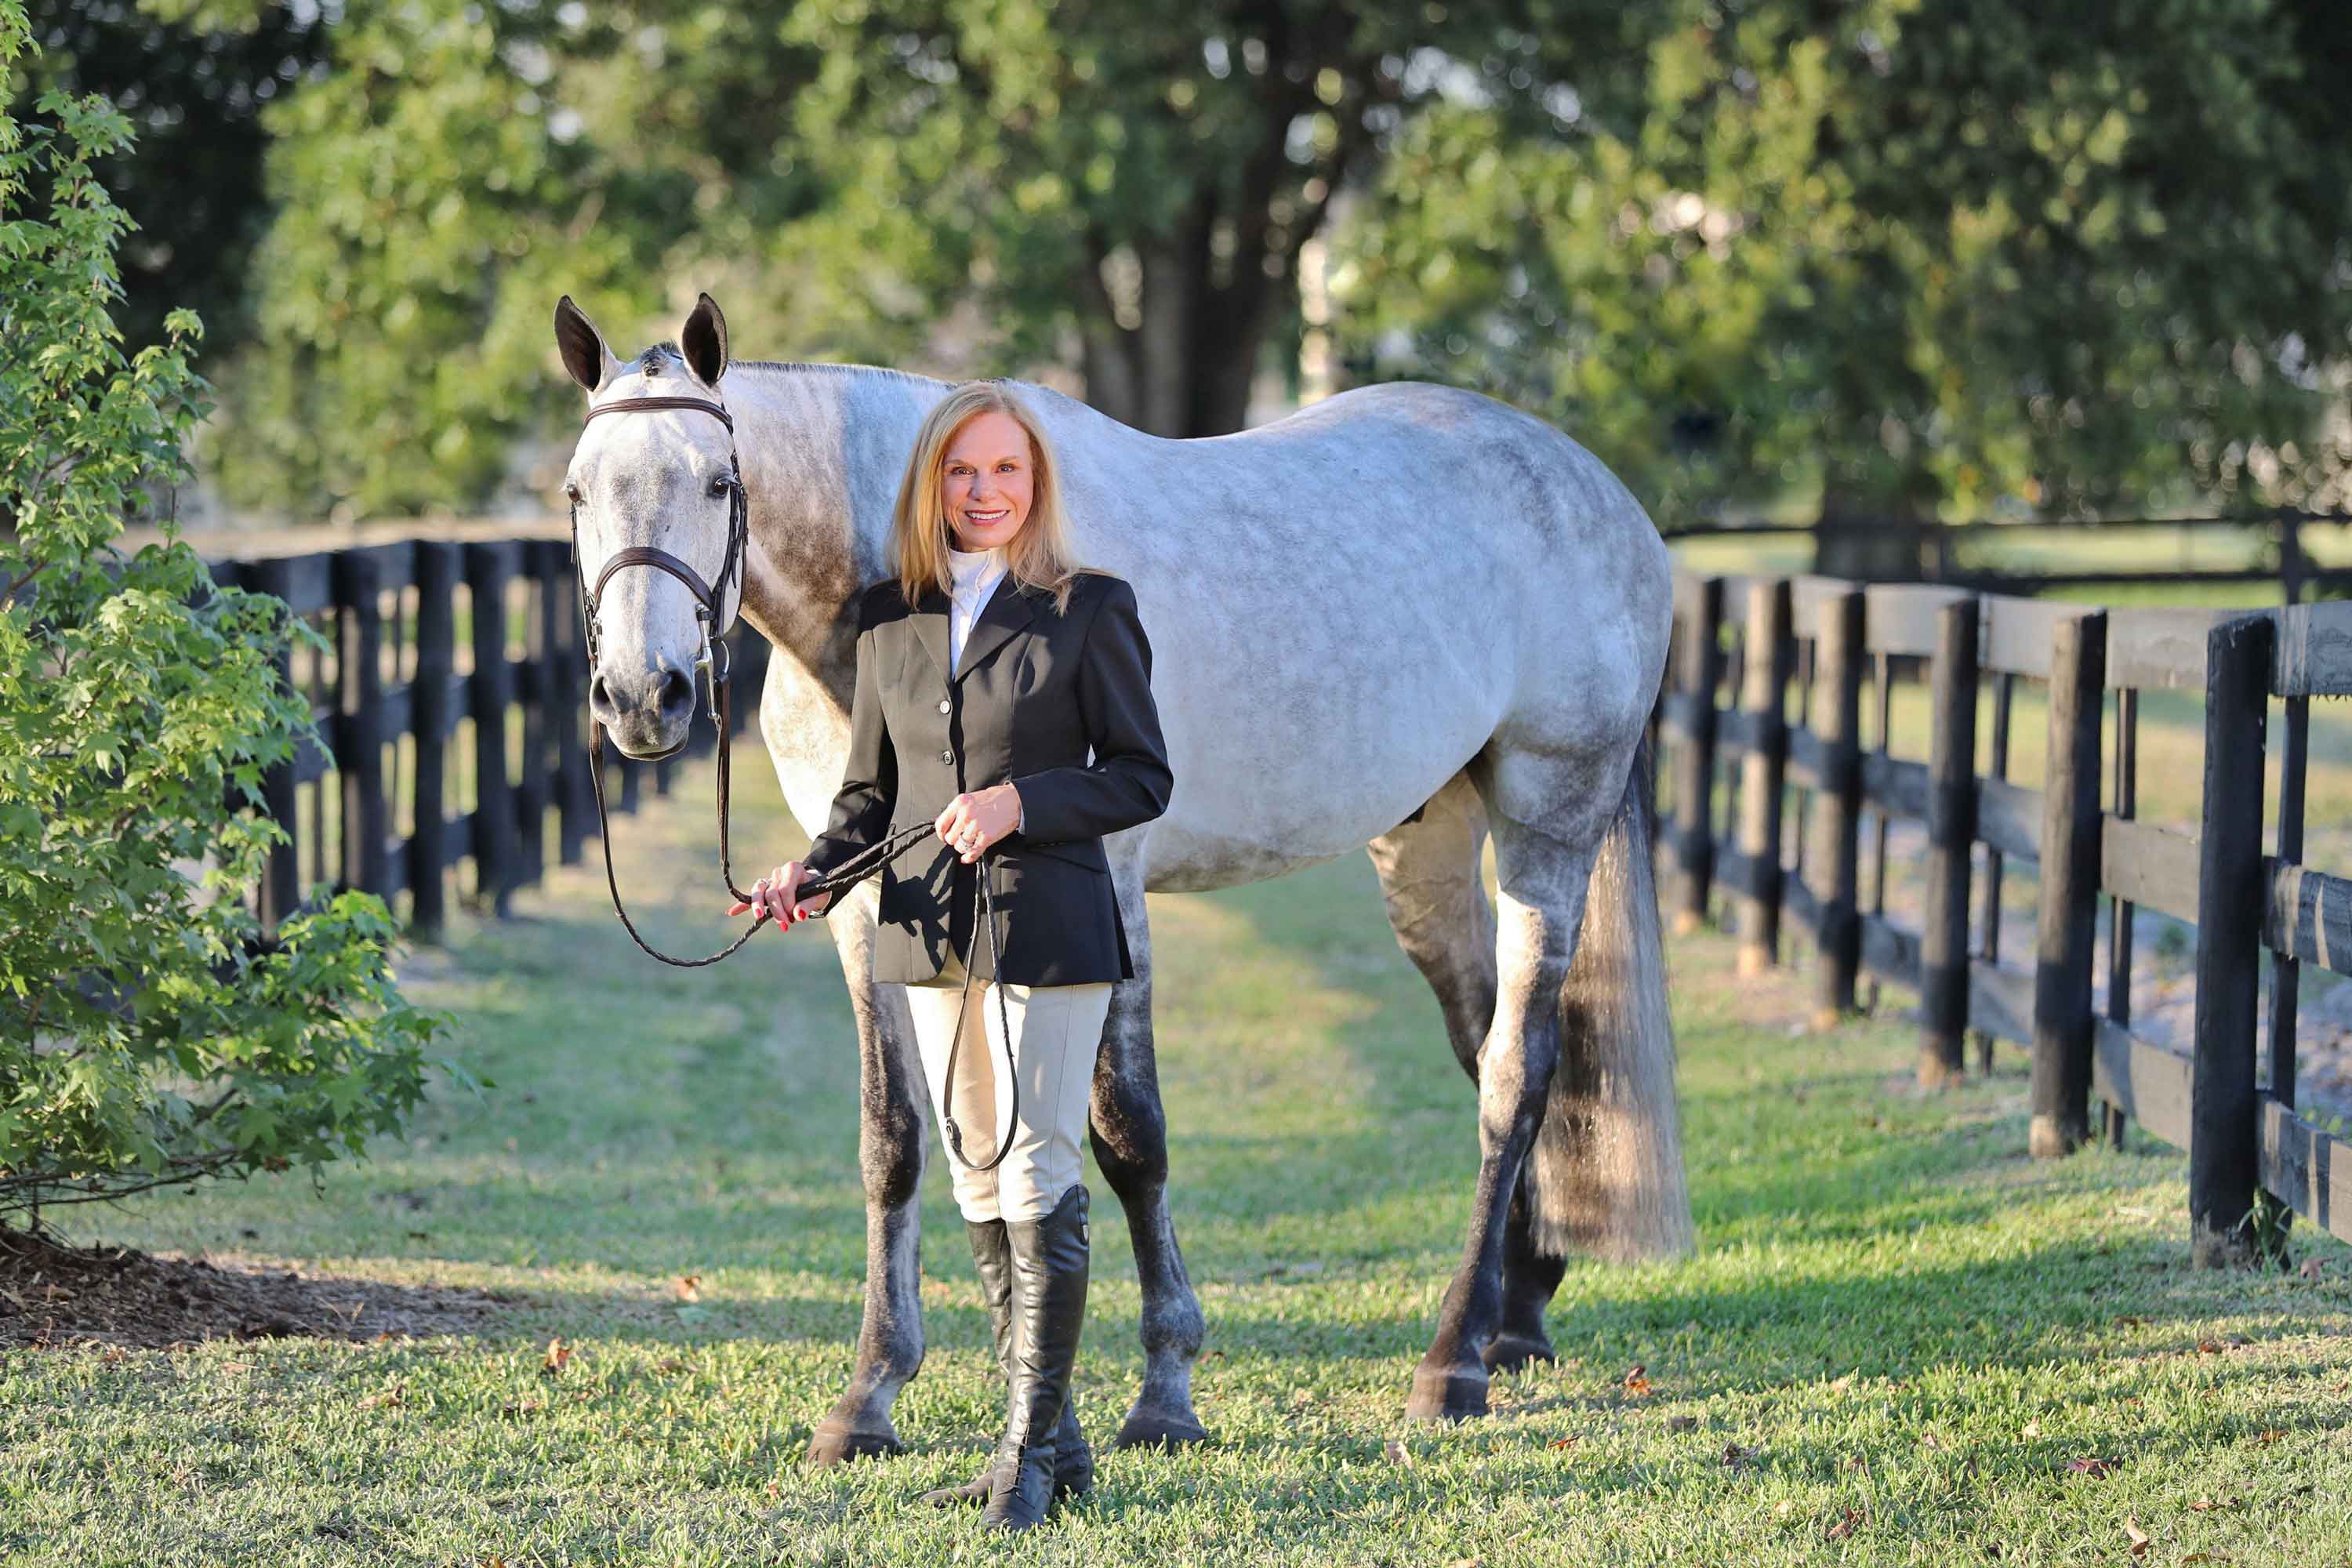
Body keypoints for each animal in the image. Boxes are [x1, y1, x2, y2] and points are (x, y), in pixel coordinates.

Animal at [550, 291, 1693, 1457]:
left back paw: (1452, 1362)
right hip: (1426, 845)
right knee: (1489, 1045)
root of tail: (1599, 492)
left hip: (1550, 820)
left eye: (717, 482)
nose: (643, 698)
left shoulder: (1109, 892)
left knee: (1516, 1071)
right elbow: (898, 1140)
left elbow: (1127, 1134)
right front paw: (870, 1395)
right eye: (579, 491)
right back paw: (1518, 1310)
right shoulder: (863, 904)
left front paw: (1164, 1389)